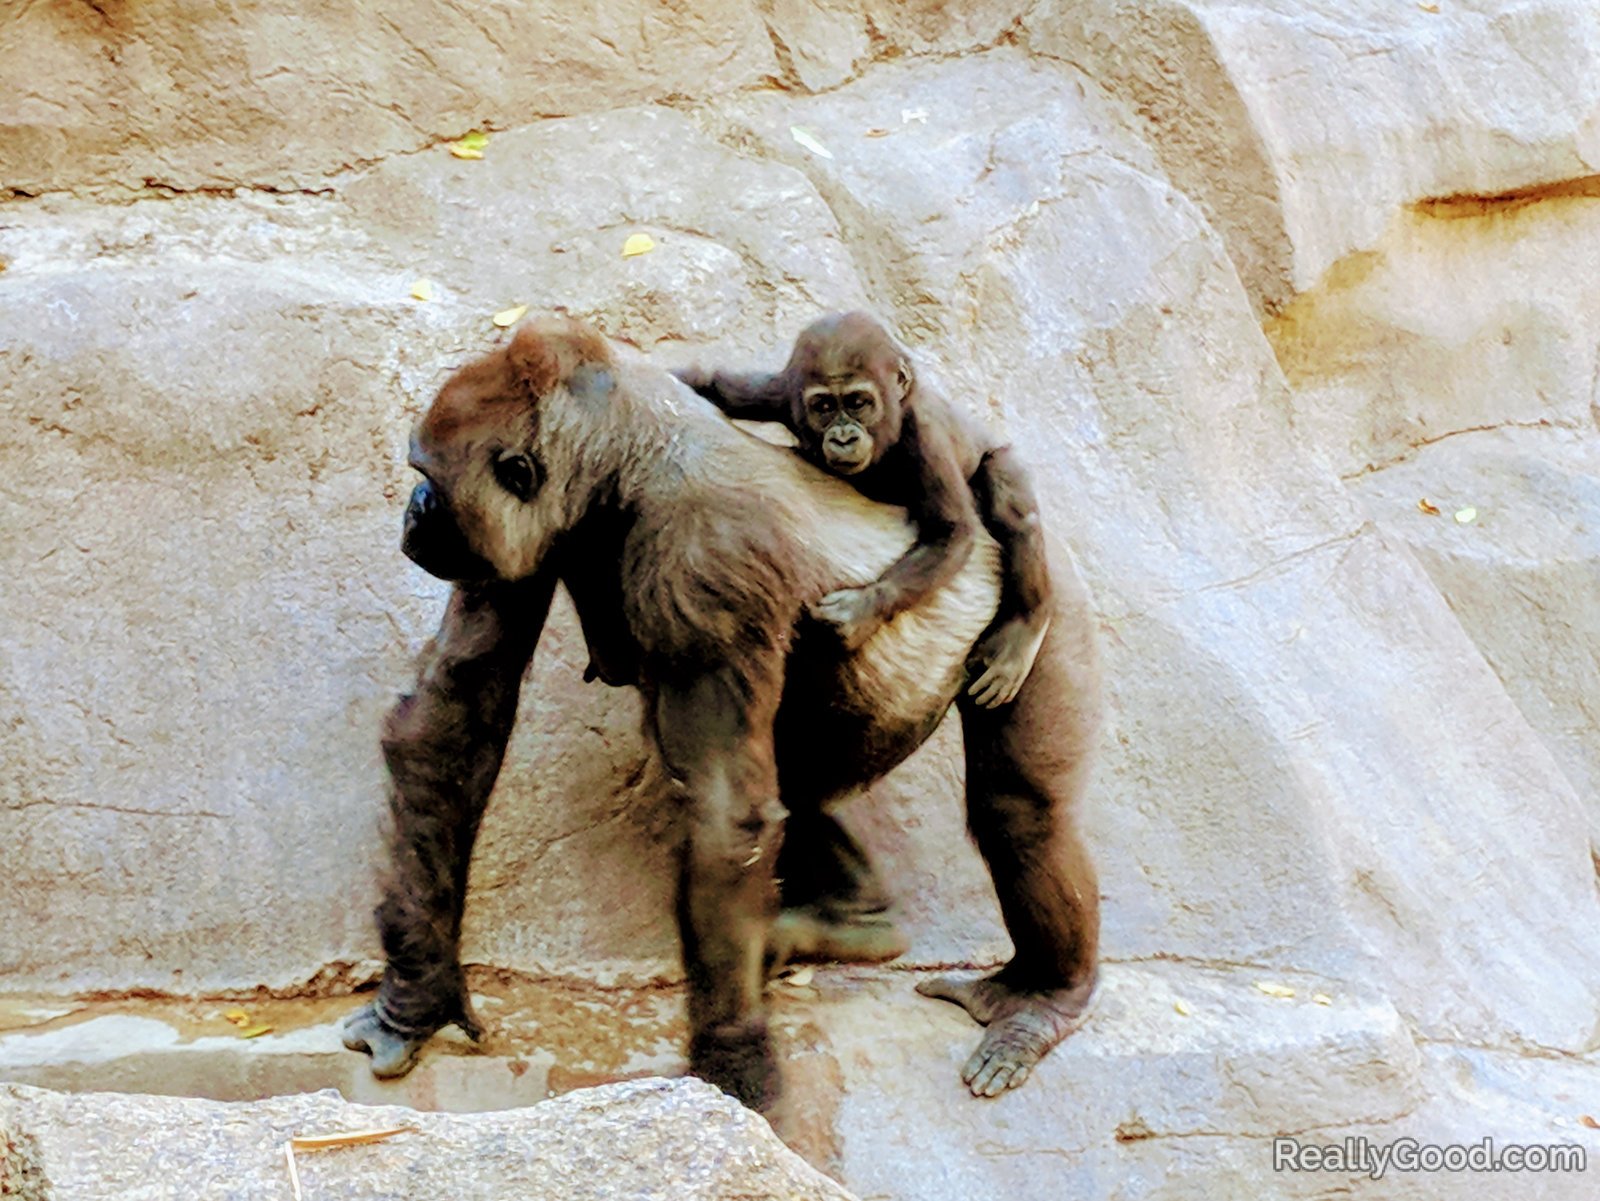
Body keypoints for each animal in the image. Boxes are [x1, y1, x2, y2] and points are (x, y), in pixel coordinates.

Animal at [675, 315, 1049, 710]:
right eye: (824, 407)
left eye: (858, 402)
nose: (843, 437)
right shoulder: (781, 393)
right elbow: (716, 385)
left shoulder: (925, 435)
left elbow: (951, 531)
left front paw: (862, 609)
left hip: (1001, 455)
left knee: (1013, 509)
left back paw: (1023, 629)